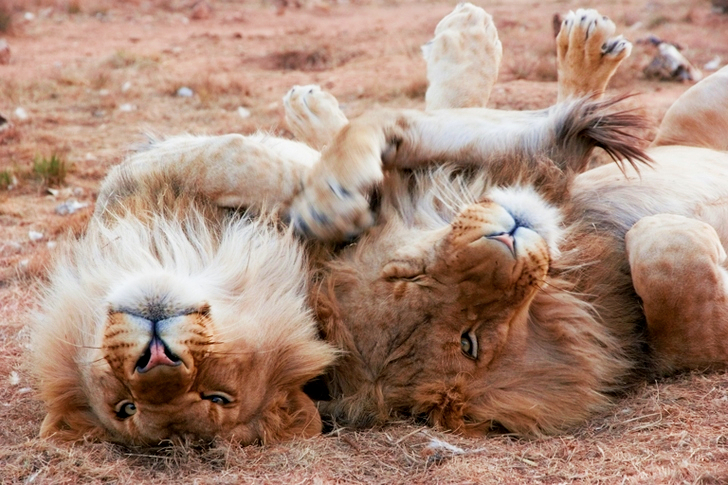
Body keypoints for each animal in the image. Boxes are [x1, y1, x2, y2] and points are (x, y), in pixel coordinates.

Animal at [285, 6, 728, 435]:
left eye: (406, 273)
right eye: (469, 342)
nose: (507, 238)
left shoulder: (523, 157)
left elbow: (380, 121)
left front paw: (328, 201)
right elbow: (663, 254)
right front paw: (679, 231)